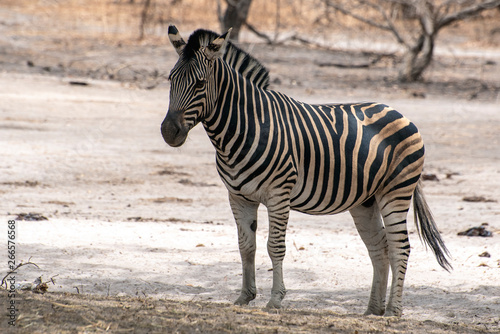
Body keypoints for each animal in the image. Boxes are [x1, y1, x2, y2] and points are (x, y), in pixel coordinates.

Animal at [162, 25, 452, 316]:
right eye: (170, 79)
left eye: (200, 84)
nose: (168, 132)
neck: (245, 128)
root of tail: (399, 113)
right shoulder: (238, 197)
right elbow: (246, 246)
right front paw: (245, 296)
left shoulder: (279, 194)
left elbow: (274, 246)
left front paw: (275, 299)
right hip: (365, 201)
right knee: (379, 246)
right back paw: (373, 309)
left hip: (396, 192)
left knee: (400, 247)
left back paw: (393, 310)